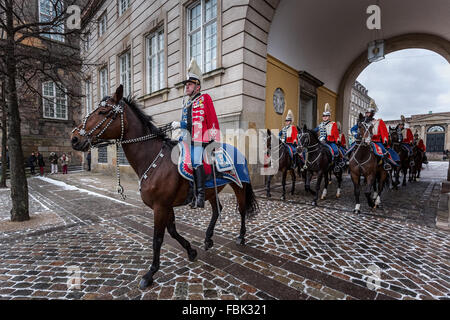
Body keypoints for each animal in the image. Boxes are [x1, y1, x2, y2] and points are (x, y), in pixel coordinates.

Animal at [70, 85, 256, 290]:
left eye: (103, 112)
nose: (74, 138)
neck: (153, 157)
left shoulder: (160, 206)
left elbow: (157, 239)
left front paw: (150, 273)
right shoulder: (166, 206)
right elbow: (173, 231)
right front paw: (191, 251)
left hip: (239, 186)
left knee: (241, 210)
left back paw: (241, 237)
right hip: (210, 191)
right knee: (217, 210)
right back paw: (208, 239)